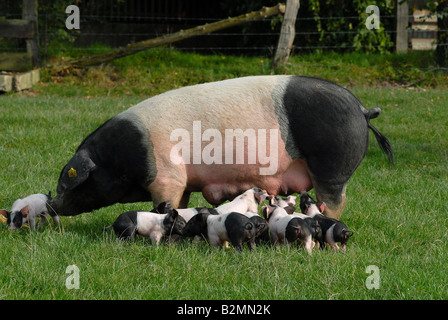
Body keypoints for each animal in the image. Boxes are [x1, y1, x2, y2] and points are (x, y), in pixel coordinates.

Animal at [47, 75, 394, 220]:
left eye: (71, 181)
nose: (52, 205)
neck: (120, 157)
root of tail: (363, 110)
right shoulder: (182, 181)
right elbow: (182, 201)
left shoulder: (165, 175)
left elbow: (164, 202)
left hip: (331, 164)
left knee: (335, 201)